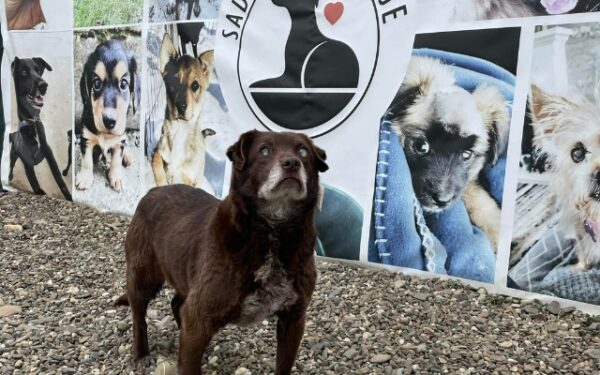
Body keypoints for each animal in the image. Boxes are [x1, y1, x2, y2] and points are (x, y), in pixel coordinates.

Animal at [112, 130, 328, 375]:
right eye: (264, 151)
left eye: (303, 151)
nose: (292, 163)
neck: (273, 236)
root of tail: (153, 190)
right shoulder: (199, 316)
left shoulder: (293, 318)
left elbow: (283, 365)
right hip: (143, 278)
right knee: (139, 317)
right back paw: (141, 355)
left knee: (177, 305)